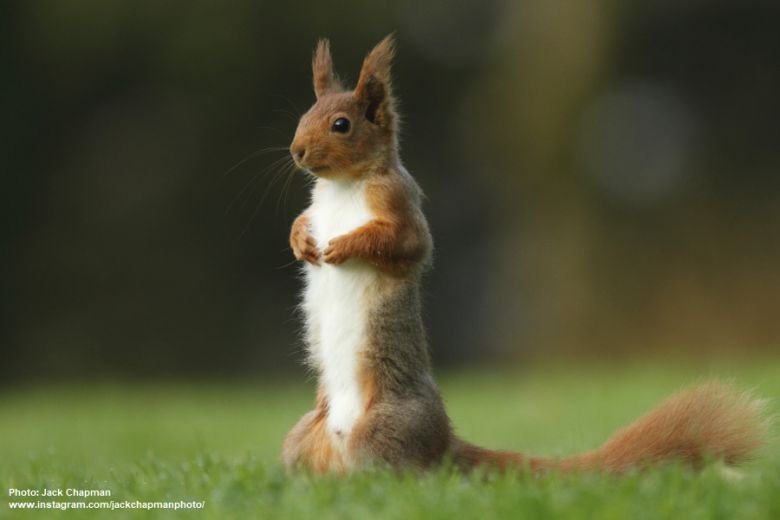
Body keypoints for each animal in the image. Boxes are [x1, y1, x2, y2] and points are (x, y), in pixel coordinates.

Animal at [282, 35, 768, 476]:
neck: (342, 186)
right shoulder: (319, 205)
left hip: (383, 434)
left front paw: (342, 245)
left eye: (341, 125)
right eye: (304, 115)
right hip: (303, 436)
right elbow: (303, 220)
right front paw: (302, 240)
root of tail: (444, 443)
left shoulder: (400, 206)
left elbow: (403, 243)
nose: (296, 151)